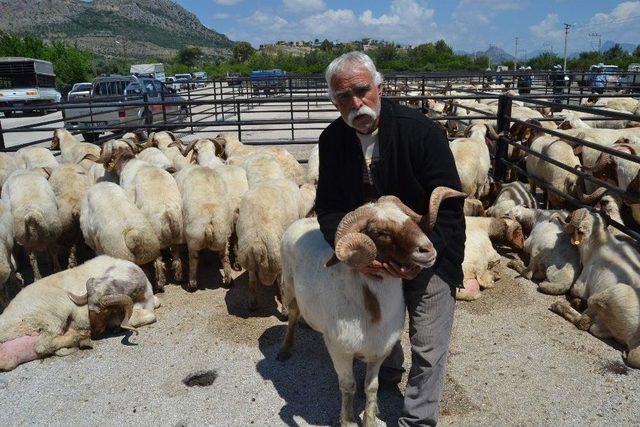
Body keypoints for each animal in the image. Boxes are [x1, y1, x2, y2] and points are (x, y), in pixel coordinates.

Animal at [0, 256, 159, 372]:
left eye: (106, 311)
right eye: (90, 310)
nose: (95, 334)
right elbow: (149, 316)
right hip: (53, 312)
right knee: (42, 345)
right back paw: (81, 337)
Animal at [552, 209, 640, 370]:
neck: (599, 243)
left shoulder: (580, 286)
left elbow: (575, 293)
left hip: (610, 295)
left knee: (584, 322)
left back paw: (559, 305)